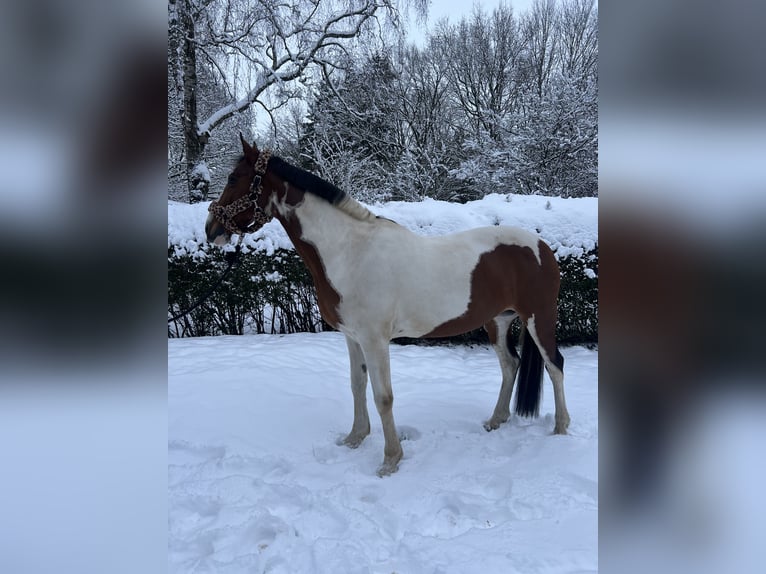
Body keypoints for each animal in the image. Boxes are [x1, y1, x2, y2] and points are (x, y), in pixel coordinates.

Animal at [205, 135, 570, 476]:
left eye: (234, 178)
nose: (211, 230)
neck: (350, 251)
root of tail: (542, 246)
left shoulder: (375, 340)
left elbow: (384, 397)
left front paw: (390, 461)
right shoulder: (352, 337)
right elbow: (357, 385)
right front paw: (354, 438)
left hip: (538, 318)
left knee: (554, 365)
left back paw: (561, 428)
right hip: (498, 321)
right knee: (510, 364)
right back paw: (496, 420)